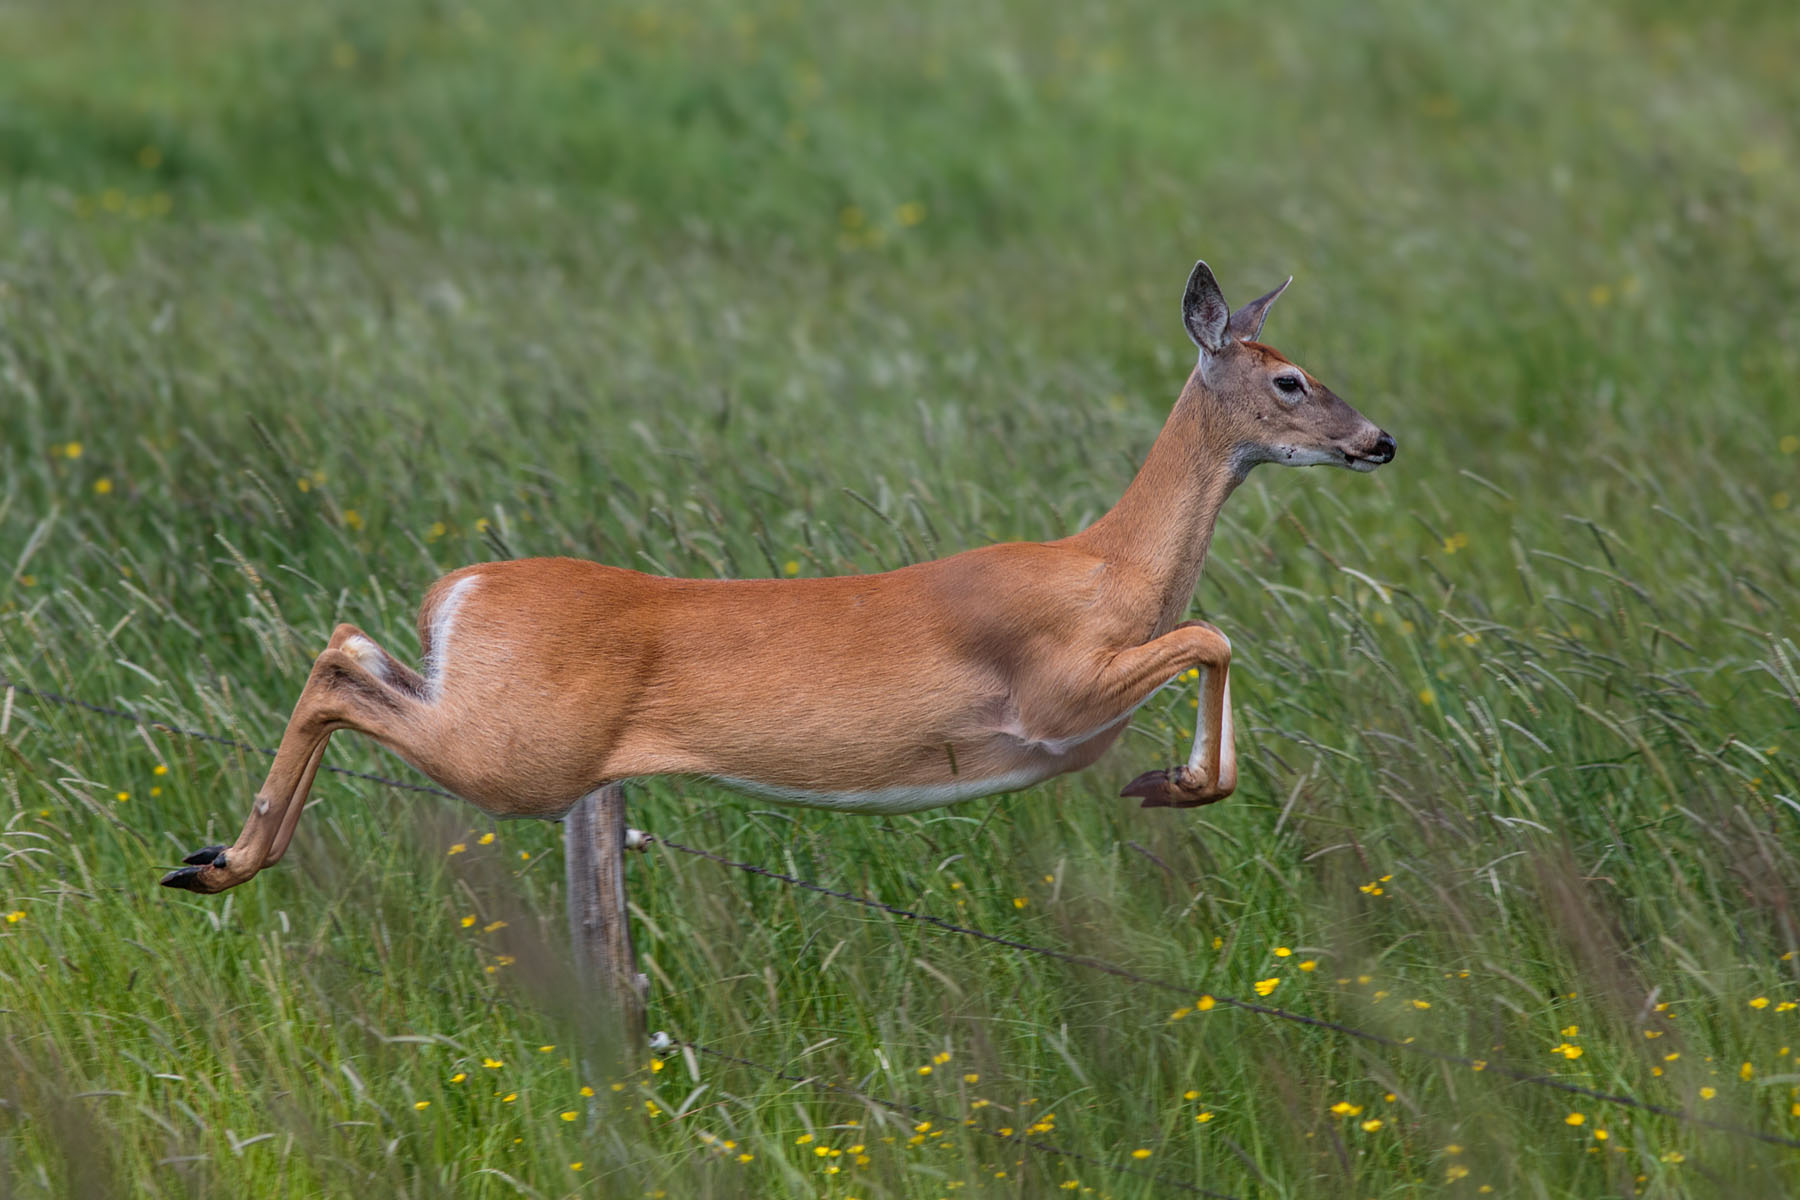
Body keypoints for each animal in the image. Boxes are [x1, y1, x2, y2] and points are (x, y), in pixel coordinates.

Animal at [162, 260, 1396, 892]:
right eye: (1289, 380)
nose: (1379, 440)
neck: (1111, 567)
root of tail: (456, 590)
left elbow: (1211, 642)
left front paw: (1170, 781)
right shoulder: (1052, 696)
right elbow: (1214, 635)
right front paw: (1171, 781)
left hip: (480, 709)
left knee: (346, 645)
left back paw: (217, 857)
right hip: (521, 755)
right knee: (339, 671)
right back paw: (224, 860)